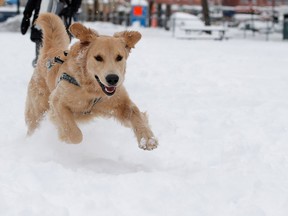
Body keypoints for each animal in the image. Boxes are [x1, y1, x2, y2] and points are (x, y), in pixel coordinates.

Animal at [25, 13, 159, 150]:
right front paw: (65, 138)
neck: (92, 89)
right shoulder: (57, 101)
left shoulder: (120, 103)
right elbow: (75, 134)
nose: (113, 79)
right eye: (98, 57)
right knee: (33, 126)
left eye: (119, 57)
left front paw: (147, 139)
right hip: (37, 110)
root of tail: (49, 51)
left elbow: (136, 114)